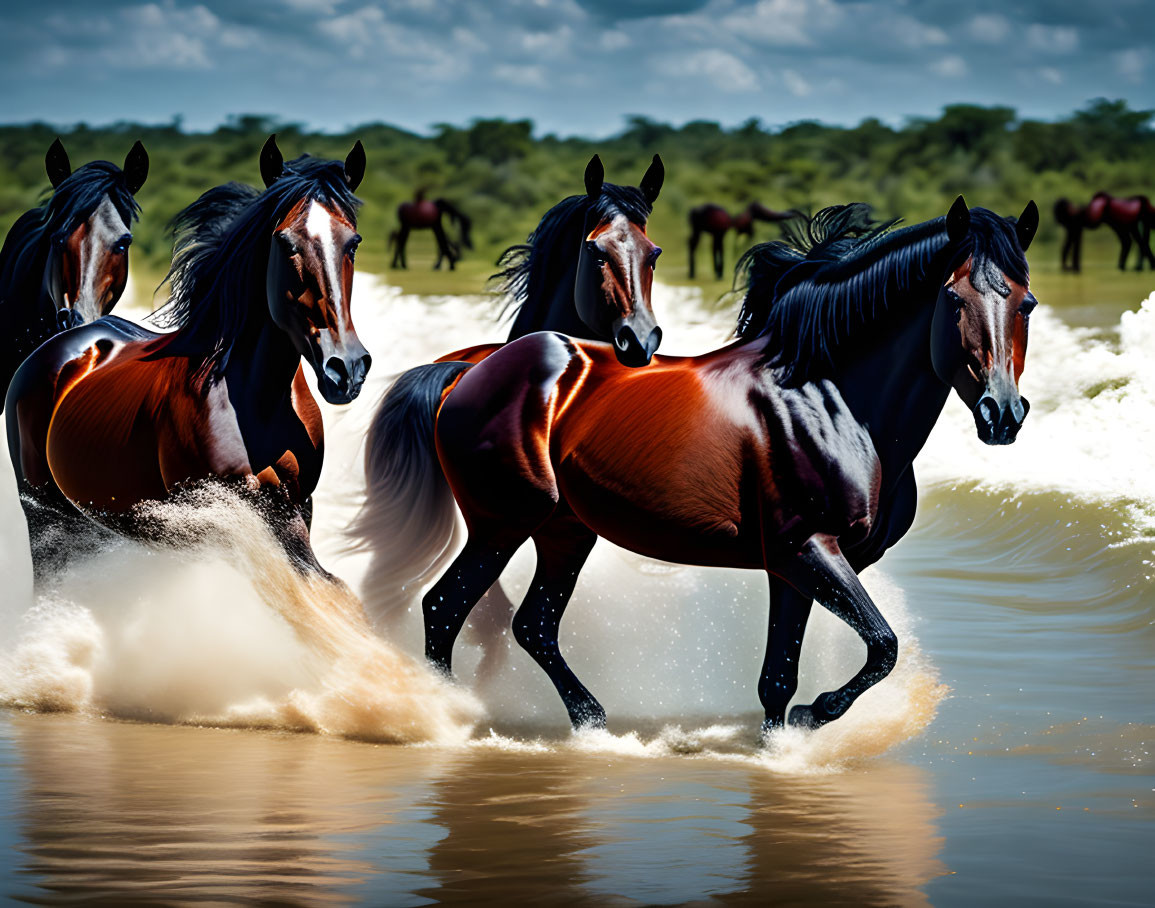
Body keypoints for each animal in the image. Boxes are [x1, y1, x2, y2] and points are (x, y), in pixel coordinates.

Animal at [360, 194, 1039, 730]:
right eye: (953, 297)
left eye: (1027, 304)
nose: (1002, 414)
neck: (834, 402)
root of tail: (468, 369)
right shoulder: (808, 551)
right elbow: (881, 647)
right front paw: (814, 715)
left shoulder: (798, 567)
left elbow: (779, 679)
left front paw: (786, 741)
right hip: (503, 523)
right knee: (446, 609)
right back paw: (448, 716)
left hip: (565, 530)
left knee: (532, 625)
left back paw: (590, 722)